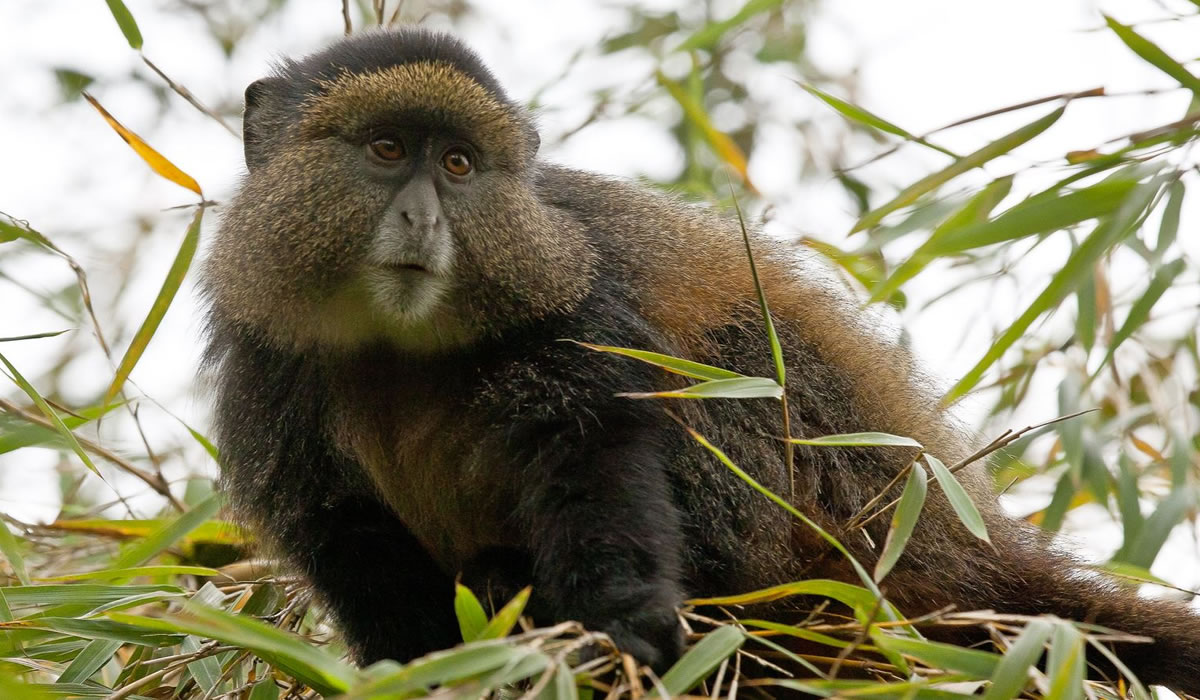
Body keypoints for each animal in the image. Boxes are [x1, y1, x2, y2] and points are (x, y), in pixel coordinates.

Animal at [200, 28, 1200, 693]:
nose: (419, 218)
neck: (400, 347)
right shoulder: (269, 365)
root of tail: (956, 541)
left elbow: (600, 444)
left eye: (456, 165)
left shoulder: (574, 306)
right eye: (384, 149)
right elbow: (345, 528)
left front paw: (623, 622)